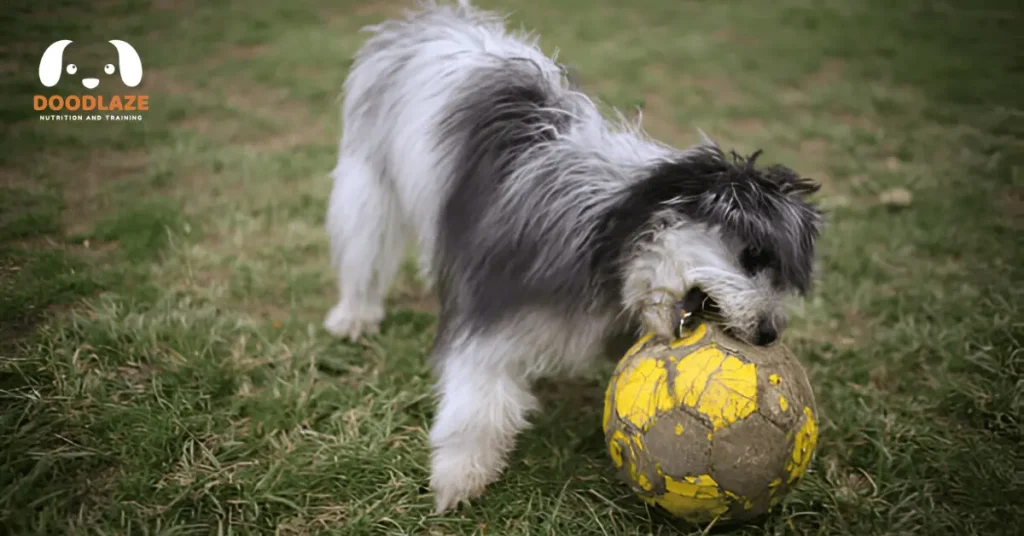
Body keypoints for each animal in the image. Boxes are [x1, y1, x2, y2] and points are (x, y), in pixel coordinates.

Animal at [325, 0, 823, 512]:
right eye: (753, 256)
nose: (767, 335)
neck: (610, 233)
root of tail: (437, 21)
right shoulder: (490, 314)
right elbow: (478, 402)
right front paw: (459, 476)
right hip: (368, 182)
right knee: (365, 249)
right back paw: (355, 315)